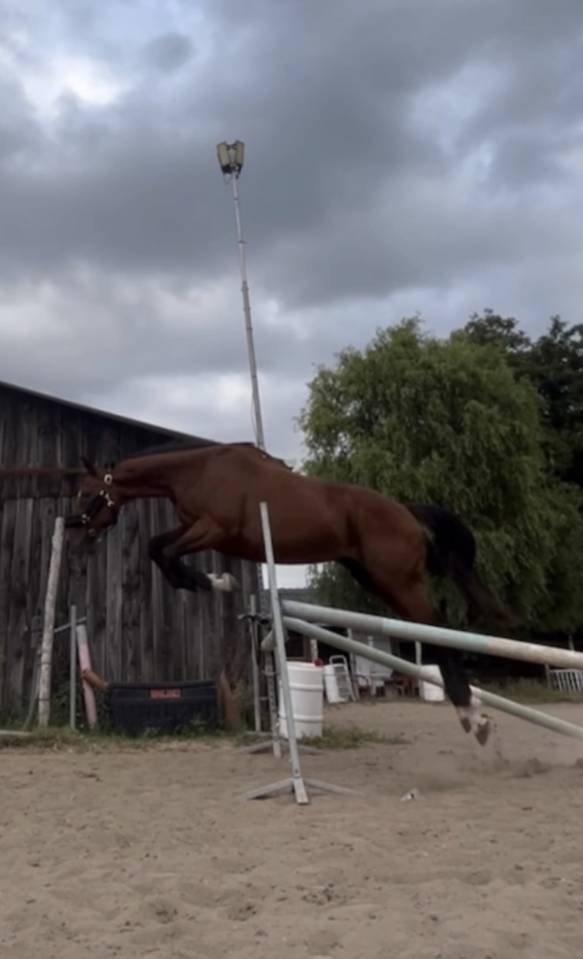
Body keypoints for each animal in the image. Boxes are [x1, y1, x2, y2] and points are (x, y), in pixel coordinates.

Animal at [64, 439, 514, 745]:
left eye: (86, 493)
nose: (75, 540)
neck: (198, 470)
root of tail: (405, 511)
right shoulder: (195, 528)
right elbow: (157, 547)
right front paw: (205, 581)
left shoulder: (214, 529)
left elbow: (166, 551)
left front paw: (212, 582)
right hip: (372, 577)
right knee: (432, 629)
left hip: (398, 581)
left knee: (437, 632)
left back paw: (473, 717)